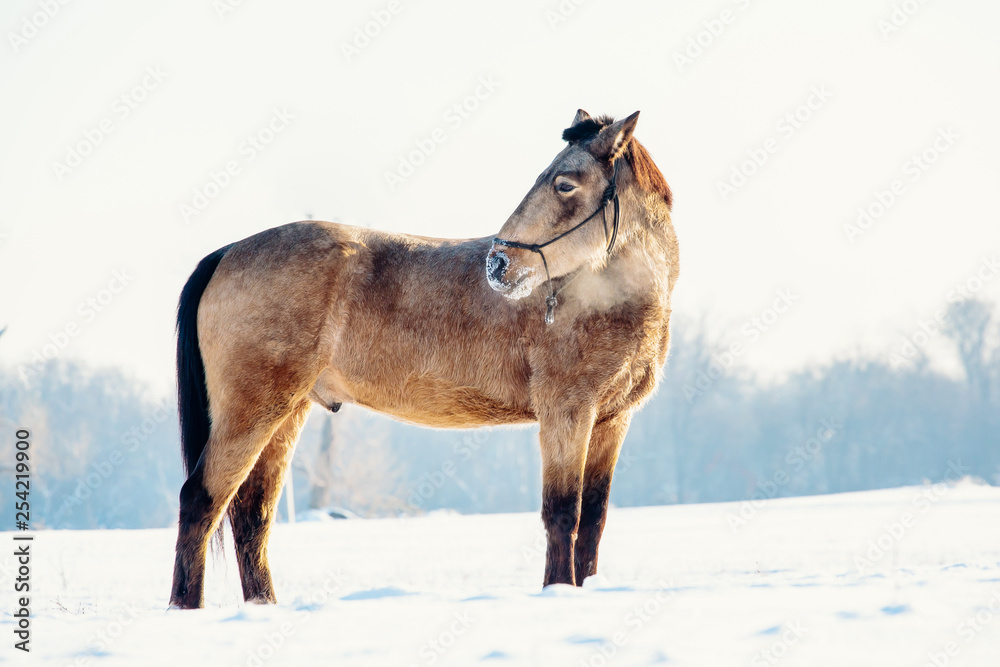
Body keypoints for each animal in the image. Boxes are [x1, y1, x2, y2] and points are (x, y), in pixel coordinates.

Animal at [169, 109, 678, 608]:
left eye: (565, 184)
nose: (498, 265)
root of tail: (227, 252)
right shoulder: (566, 412)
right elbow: (562, 514)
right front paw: (558, 592)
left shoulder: (611, 420)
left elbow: (592, 520)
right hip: (251, 411)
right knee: (201, 500)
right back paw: (185, 607)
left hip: (286, 413)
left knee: (251, 514)